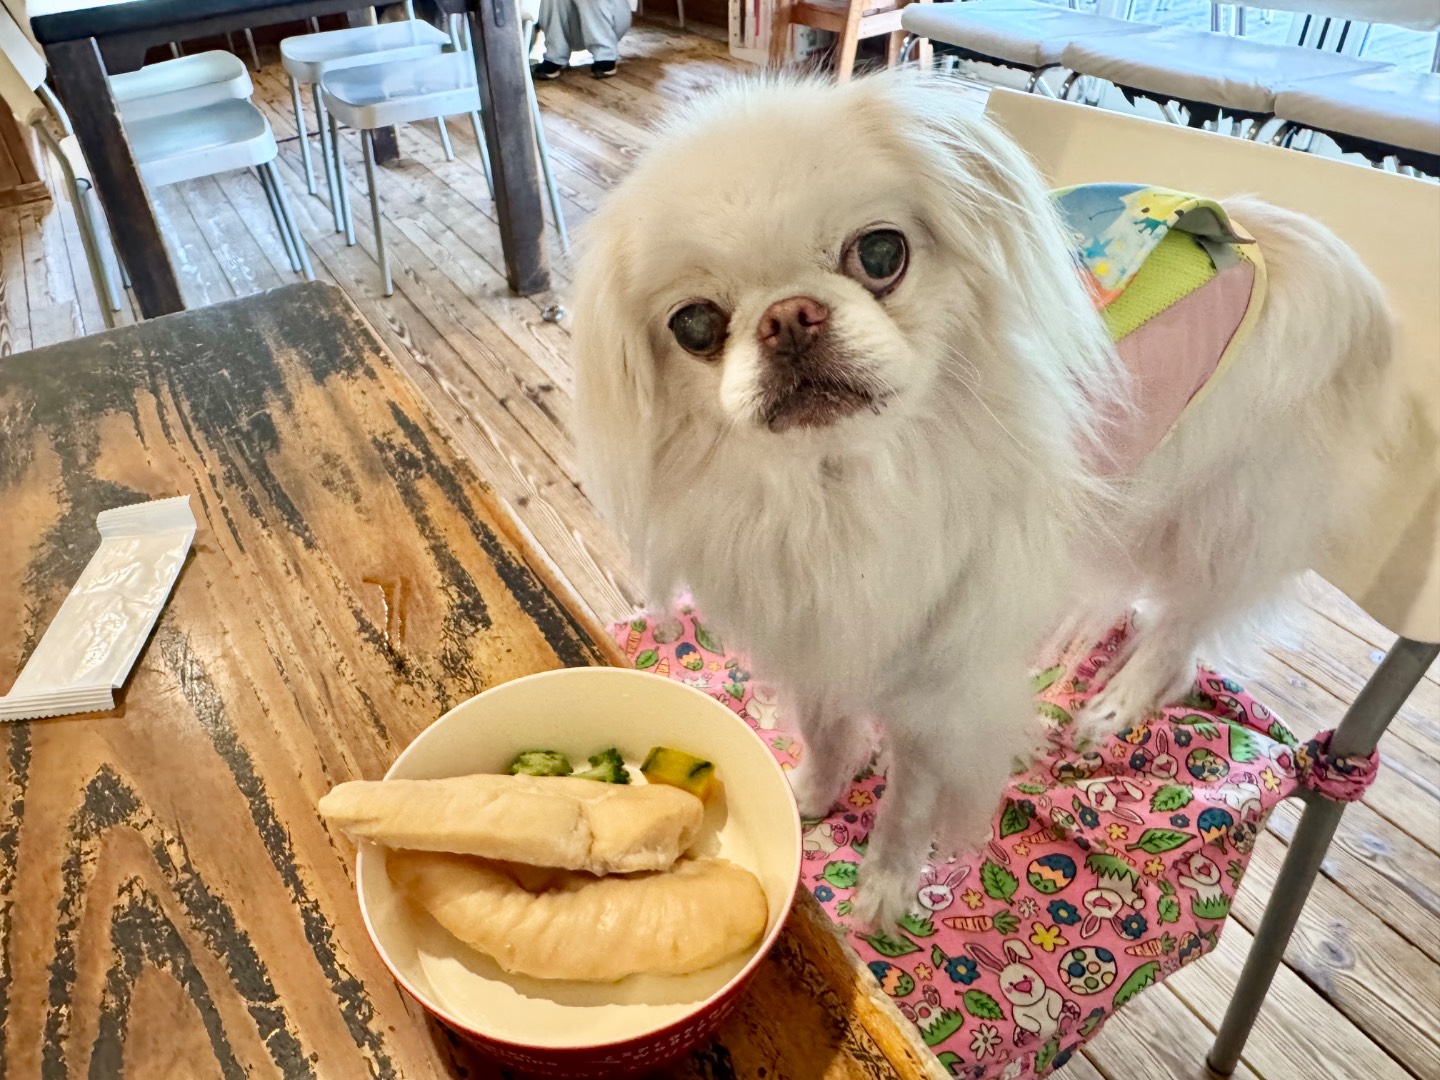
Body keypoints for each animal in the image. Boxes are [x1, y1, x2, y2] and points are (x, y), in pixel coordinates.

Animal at [571, 73, 1399, 927]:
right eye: (696, 325)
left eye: (881, 253)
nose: (788, 317)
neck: (842, 485)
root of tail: (1281, 237)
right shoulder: (816, 631)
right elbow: (829, 729)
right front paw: (810, 796)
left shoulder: (941, 684)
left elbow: (910, 799)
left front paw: (886, 887)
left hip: (1223, 511)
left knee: (1182, 629)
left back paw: (1115, 702)